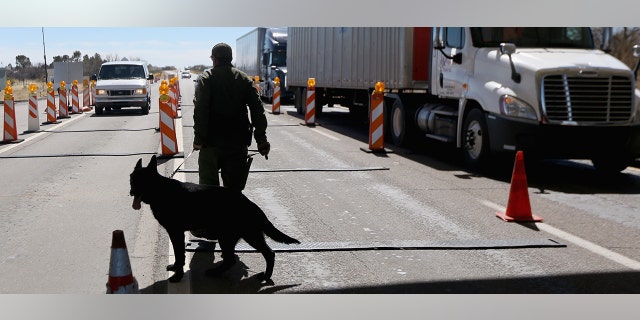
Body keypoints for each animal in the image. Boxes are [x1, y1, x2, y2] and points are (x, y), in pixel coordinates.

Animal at [131, 156, 302, 282]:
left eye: (141, 181)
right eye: (132, 179)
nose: (131, 191)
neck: (160, 190)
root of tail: (250, 204)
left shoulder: (176, 232)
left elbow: (179, 253)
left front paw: (177, 275)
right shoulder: (175, 233)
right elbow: (179, 254)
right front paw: (175, 267)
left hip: (244, 236)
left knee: (267, 254)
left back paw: (264, 276)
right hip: (230, 236)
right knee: (232, 259)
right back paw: (218, 272)